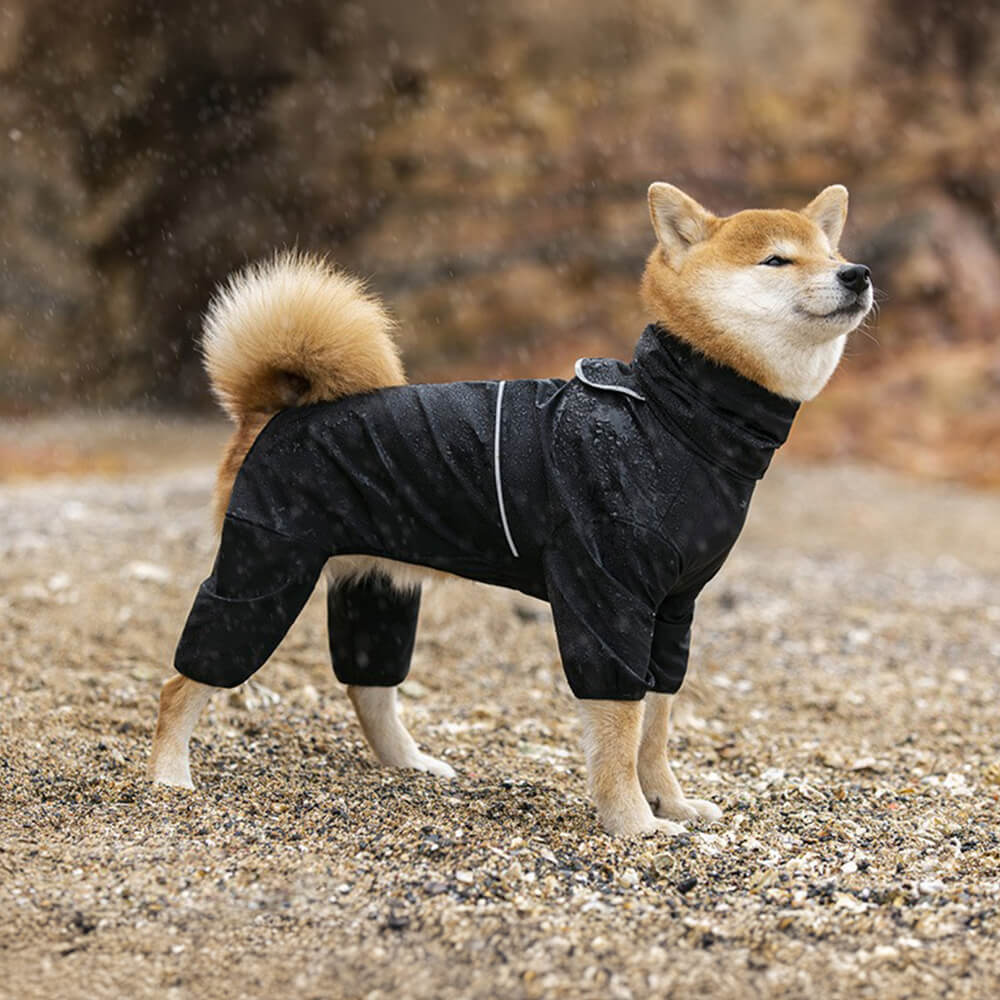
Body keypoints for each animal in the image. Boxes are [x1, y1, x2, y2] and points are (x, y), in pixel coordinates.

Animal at [150, 186, 876, 836]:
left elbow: (656, 726)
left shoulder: (673, 612)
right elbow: (621, 729)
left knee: (369, 686)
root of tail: (273, 411)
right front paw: (634, 824)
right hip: (267, 570)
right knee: (185, 681)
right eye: (777, 260)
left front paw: (670, 802)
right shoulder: (607, 598)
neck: (678, 416)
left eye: (831, 251)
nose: (858, 272)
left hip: (377, 585)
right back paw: (167, 778)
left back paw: (410, 765)